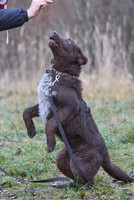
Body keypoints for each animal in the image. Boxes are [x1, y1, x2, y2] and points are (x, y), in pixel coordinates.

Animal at [22, 31, 133, 184]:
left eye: (69, 41)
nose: (53, 32)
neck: (57, 74)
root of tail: (105, 156)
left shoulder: (70, 107)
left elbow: (50, 124)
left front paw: (50, 144)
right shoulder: (44, 103)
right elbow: (26, 111)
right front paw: (31, 131)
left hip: (80, 161)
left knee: (89, 181)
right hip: (62, 159)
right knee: (75, 177)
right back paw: (66, 185)